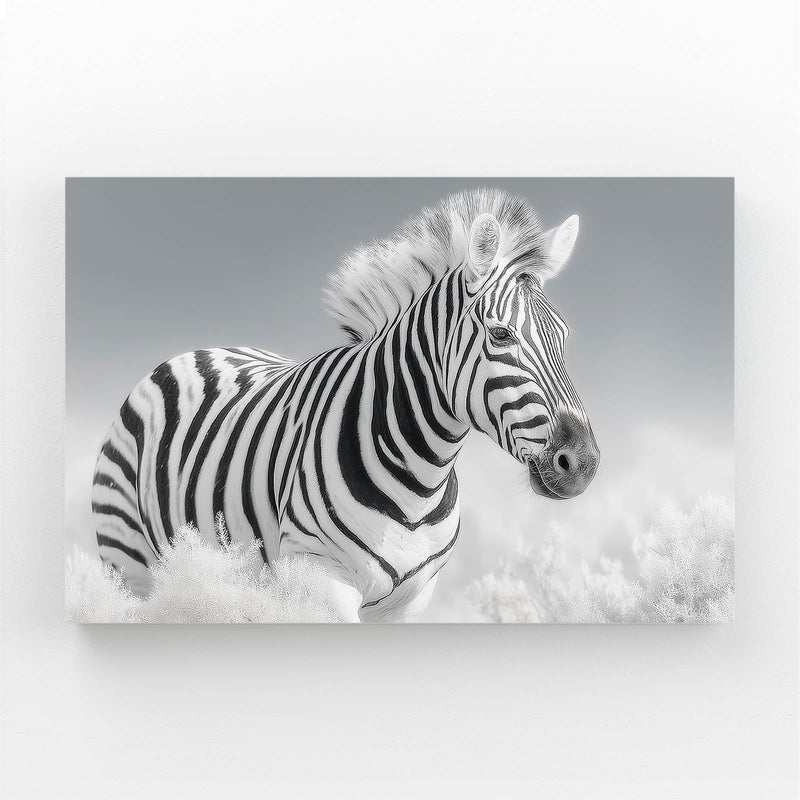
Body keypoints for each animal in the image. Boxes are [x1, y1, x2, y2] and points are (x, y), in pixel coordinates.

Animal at [91, 188, 599, 622]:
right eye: (500, 335)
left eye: (564, 337)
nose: (583, 463)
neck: (420, 479)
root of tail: (198, 350)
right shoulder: (324, 581)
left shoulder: (412, 600)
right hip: (129, 562)